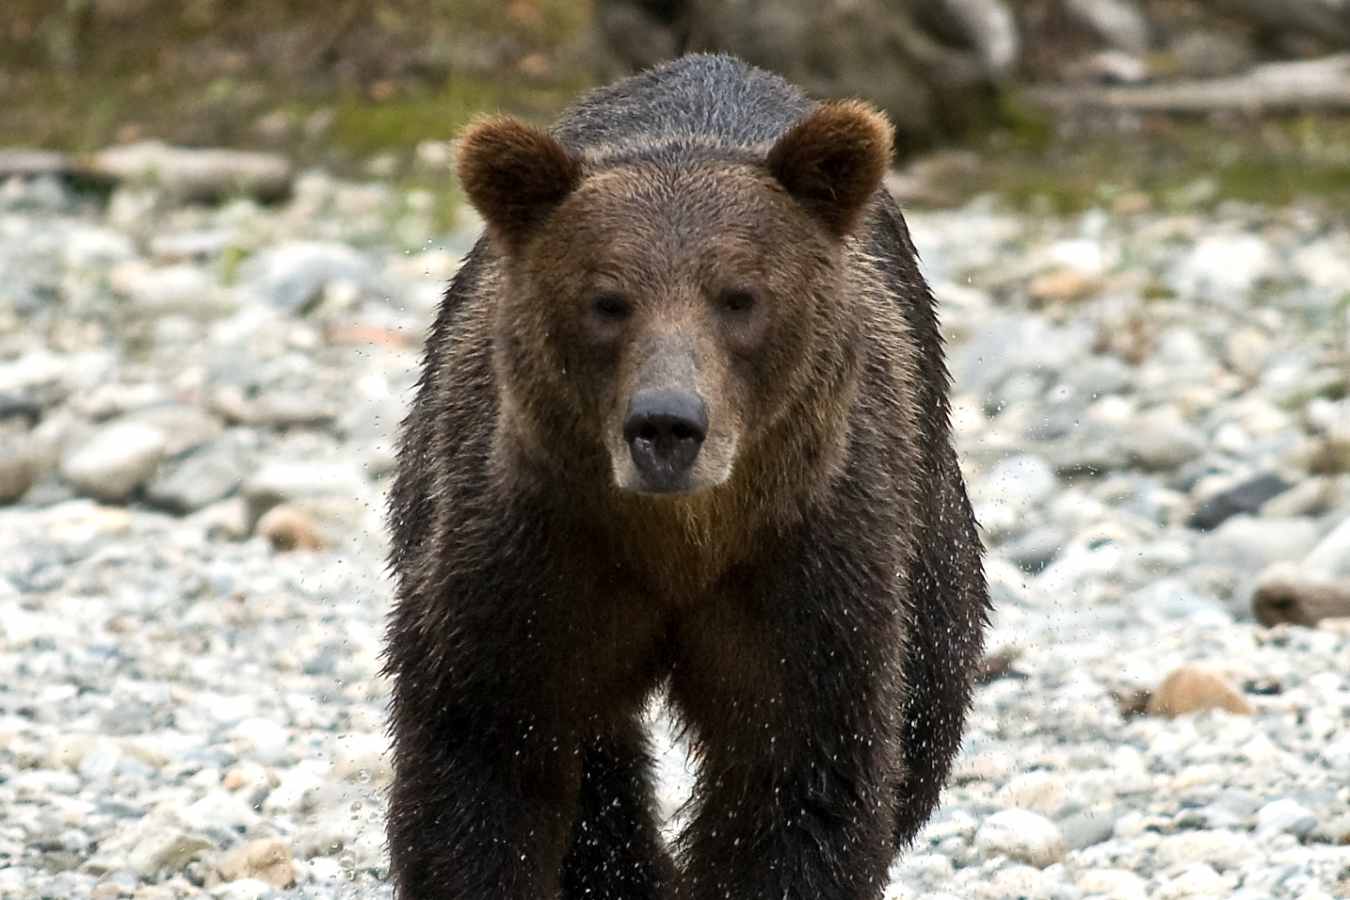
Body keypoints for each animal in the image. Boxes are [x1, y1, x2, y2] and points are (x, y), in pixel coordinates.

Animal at [383, 53, 989, 900]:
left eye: (740, 297)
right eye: (607, 300)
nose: (666, 424)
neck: (683, 539)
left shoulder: (809, 568)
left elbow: (798, 779)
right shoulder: (522, 555)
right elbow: (485, 762)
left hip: (926, 527)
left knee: (928, 705)